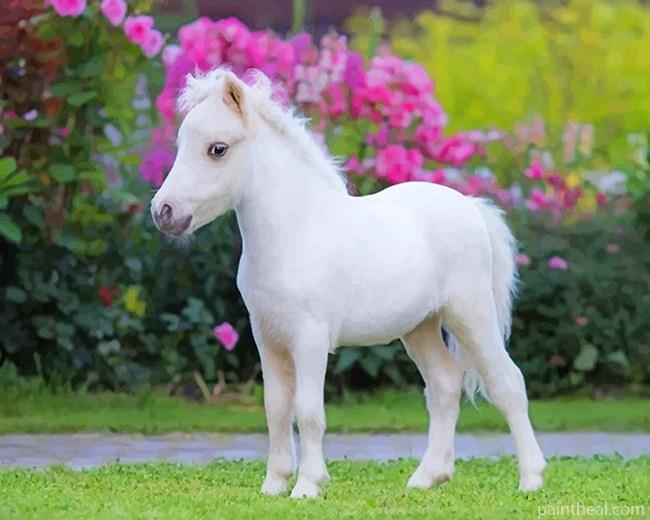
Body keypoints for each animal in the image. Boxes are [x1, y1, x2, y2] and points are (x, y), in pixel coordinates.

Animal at [151, 68, 546, 498]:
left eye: (217, 149)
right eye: (181, 143)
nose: (163, 212)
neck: (295, 232)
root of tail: (472, 207)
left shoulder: (309, 338)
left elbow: (308, 411)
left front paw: (308, 485)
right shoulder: (268, 338)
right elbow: (276, 408)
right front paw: (274, 485)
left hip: (470, 314)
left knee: (507, 383)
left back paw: (531, 478)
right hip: (420, 327)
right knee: (444, 385)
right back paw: (428, 477)